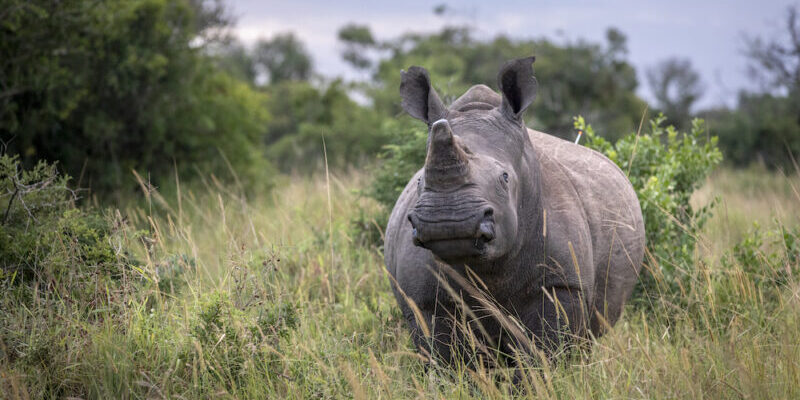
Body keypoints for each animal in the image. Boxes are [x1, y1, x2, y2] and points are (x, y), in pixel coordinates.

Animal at [384, 57, 648, 362]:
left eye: (505, 177)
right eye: (419, 181)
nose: (449, 222)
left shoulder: (561, 284)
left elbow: (545, 351)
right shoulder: (422, 299)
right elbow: (442, 354)